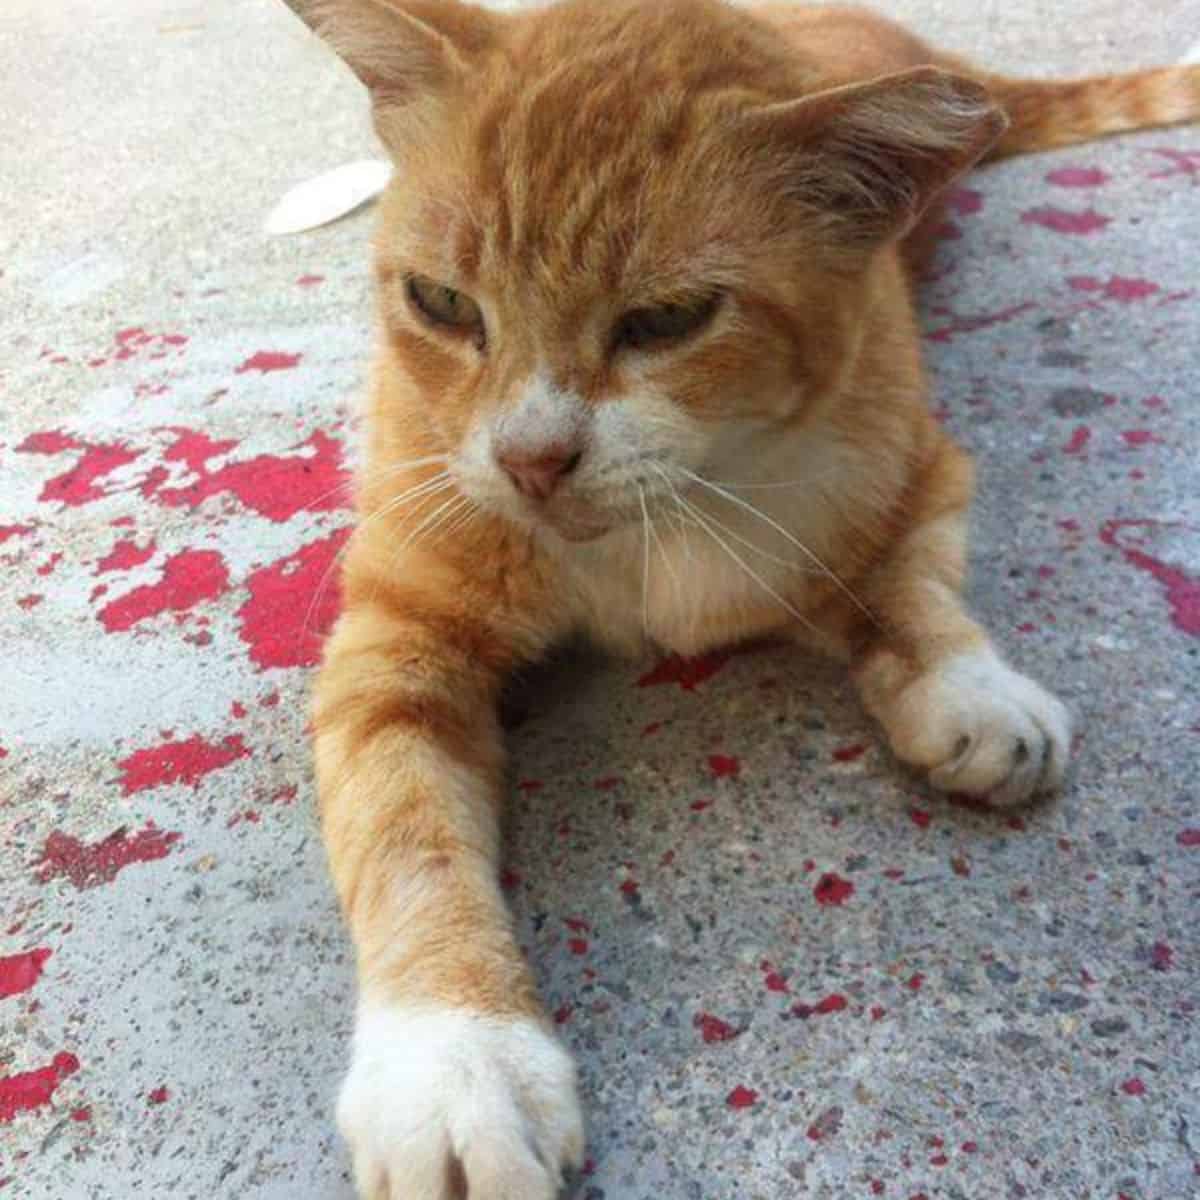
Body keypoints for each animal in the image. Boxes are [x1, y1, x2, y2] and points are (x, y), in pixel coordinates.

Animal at [297, 4, 1200, 1195]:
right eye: (441, 304)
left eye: (669, 320)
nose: (531, 461)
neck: (649, 536)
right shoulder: (395, 642)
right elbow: (405, 840)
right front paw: (453, 1064)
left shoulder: (917, 470)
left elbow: (912, 585)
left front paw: (971, 689)